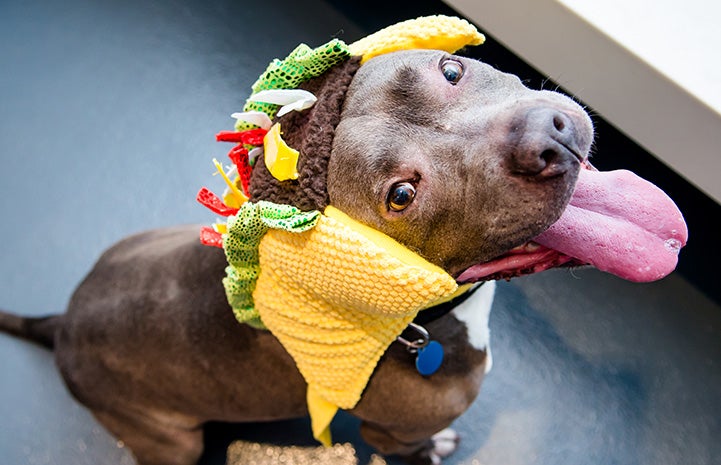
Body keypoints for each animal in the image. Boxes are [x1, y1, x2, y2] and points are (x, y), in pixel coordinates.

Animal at [0, 16, 688, 464]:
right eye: (402, 195)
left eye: (451, 68)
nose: (548, 136)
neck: (426, 318)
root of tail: (62, 325)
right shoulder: (393, 435)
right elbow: (417, 448)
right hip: (173, 440)